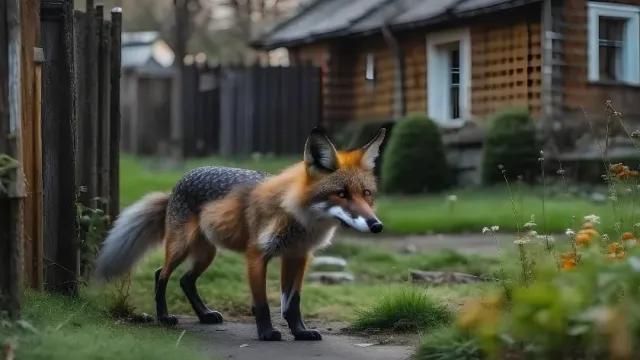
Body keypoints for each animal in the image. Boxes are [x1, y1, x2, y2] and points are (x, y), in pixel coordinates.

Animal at [91, 128, 384, 342]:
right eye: (341, 194)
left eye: (366, 194)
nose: (376, 225)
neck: (298, 219)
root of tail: (176, 184)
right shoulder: (257, 255)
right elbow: (262, 303)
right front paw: (266, 333)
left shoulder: (297, 256)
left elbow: (292, 304)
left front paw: (300, 332)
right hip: (181, 248)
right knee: (160, 275)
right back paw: (164, 317)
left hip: (207, 254)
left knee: (185, 280)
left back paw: (205, 315)